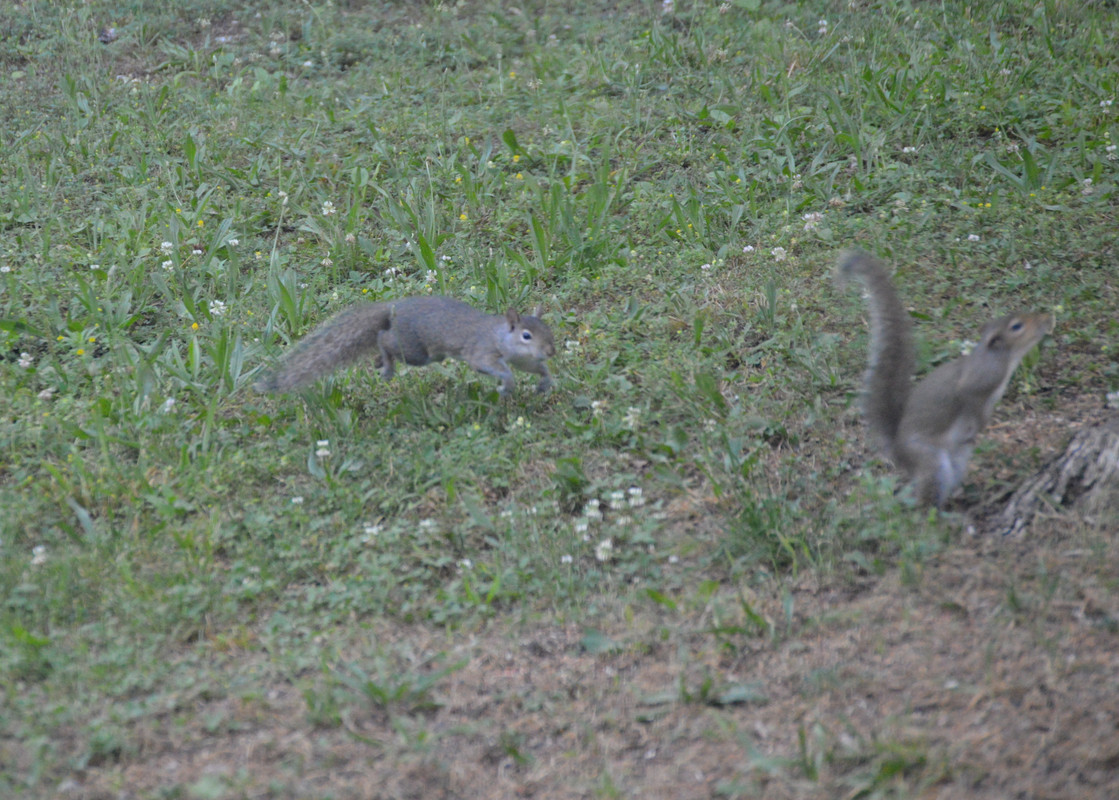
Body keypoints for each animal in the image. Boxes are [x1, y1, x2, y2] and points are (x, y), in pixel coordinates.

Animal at [255, 296, 556, 397]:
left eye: (548, 330)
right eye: (526, 335)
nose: (551, 351)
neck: (500, 335)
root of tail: (393, 309)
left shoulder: (523, 360)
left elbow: (534, 368)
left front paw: (545, 381)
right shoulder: (482, 352)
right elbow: (497, 369)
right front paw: (507, 385)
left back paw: (379, 363)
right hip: (415, 350)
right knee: (383, 338)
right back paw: (386, 365)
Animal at [838, 249, 1053, 507]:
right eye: (1017, 326)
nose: (1046, 319)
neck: (1004, 359)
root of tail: (900, 453)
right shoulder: (973, 385)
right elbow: (970, 403)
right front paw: (980, 425)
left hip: (957, 460)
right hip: (931, 460)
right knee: (925, 501)